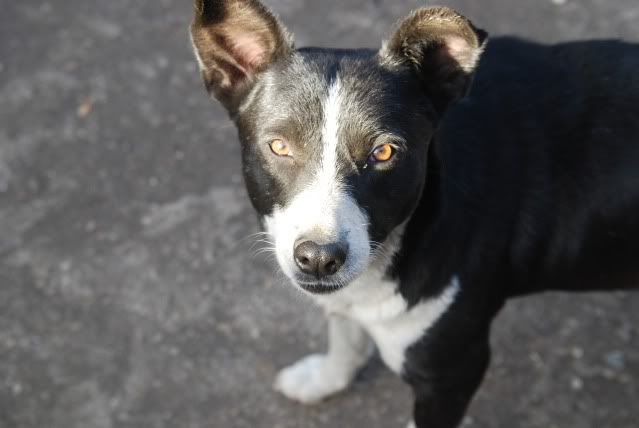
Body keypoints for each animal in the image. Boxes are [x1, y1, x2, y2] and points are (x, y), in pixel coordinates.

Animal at [190, 1, 639, 426]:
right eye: (279, 146)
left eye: (384, 151)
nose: (318, 258)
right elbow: (345, 334)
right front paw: (324, 379)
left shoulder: (451, 372)